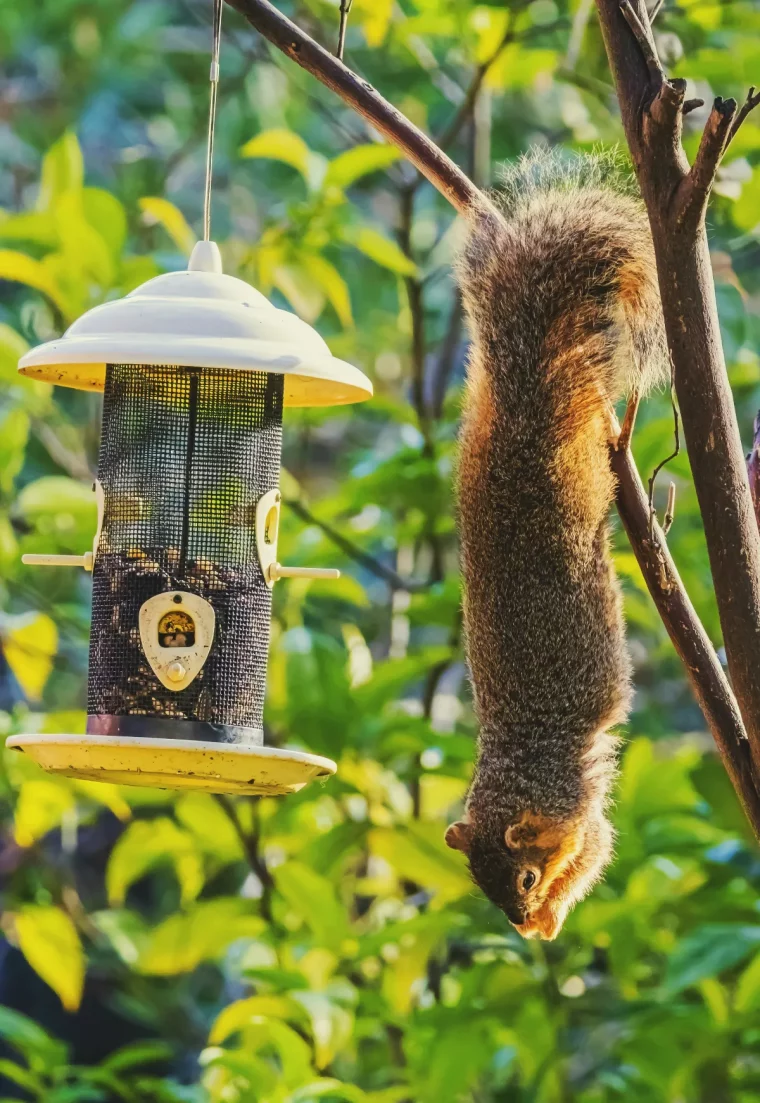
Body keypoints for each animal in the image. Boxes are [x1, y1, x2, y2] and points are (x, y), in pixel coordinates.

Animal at [441, 153, 666, 939]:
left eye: (525, 877)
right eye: (478, 886)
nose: (517, 923)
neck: (517, 774)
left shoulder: (574, 810)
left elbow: (592, 849)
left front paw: (553, 915)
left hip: (577, 464)